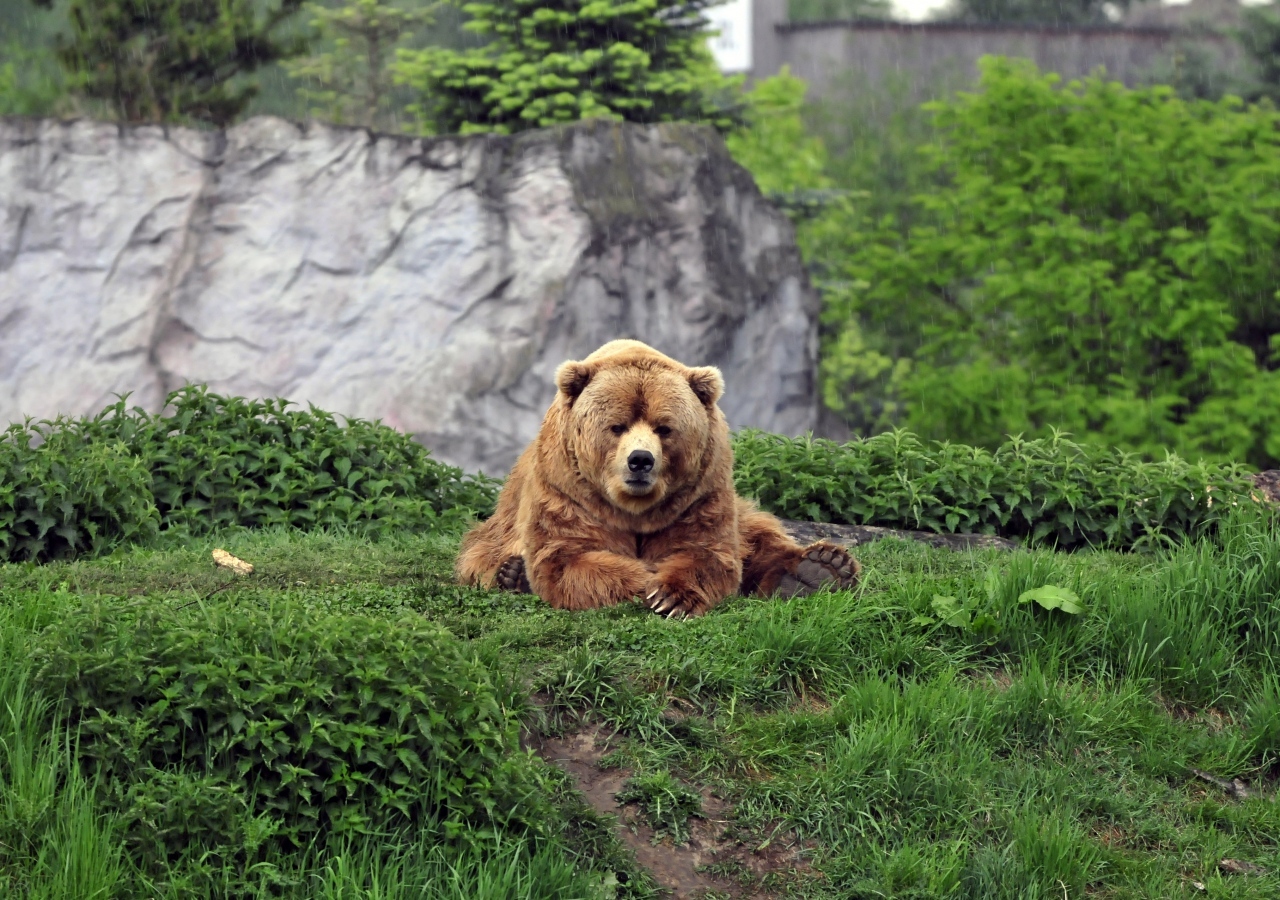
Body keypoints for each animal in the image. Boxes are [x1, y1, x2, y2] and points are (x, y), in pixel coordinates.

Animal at [453, 340, 860, 617]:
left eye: (664, 428)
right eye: (616, 426)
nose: (640, 460)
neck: (634, 509)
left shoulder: (699, 495)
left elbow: (708, 552)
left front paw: (671, 595)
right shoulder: (567, 492)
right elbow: (569, 557)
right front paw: (644, 581)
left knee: (759, 535)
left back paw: (820, 568)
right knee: (482, 554)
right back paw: (511, 575)